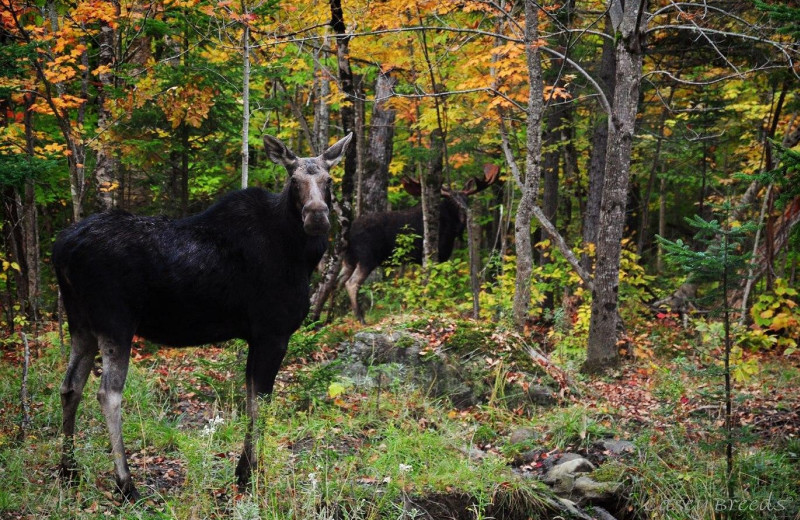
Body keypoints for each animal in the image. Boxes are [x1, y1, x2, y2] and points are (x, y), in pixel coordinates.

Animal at [55, 133, 354, 500]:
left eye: (329, 180)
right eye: (294, 180)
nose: (316, 216)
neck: (300, 255)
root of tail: (60, 251)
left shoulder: (256, 336)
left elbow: (250, 399)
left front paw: (243, 471)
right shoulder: (272, 332)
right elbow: (260, 403)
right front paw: (248, 474)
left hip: (80, 322)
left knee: (70, 386)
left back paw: (69, 469)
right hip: (115, 322)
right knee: (107, 393)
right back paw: (126, 484)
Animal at [340, 165, 500, 322]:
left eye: (467, 199)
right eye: (452, 202)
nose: (464, 216)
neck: (451, 228)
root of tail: (348, 233)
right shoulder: (437, 254)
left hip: (349, 259)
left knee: (339, 281)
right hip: (367, 257)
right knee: (351, 283)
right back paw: (360, 318)